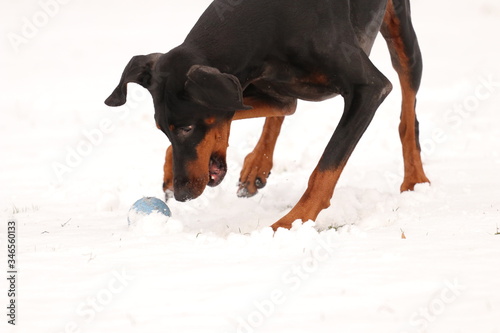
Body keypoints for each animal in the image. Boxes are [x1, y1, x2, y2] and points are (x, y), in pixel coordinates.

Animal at [104, 0, 430, 230]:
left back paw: (415, 179)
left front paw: (291, 223)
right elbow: (244, 111)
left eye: (186, 128)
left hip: (401, 34)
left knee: (408, 109)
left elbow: (326, 167)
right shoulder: (257, 87)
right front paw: (170, 169)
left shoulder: (369, 90)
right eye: (162, 129)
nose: (183, 195)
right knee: (284, 110)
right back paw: (256, 166)